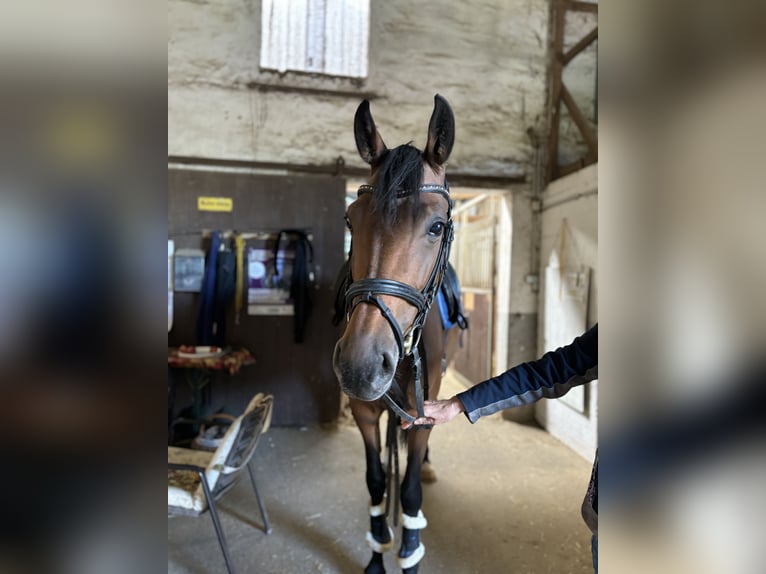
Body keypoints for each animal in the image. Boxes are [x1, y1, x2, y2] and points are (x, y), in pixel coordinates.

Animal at [332, 97, 462, 574]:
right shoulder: (364, 410)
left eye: (437, 226)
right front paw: (377, 555)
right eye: (350, 220)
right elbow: (375, 482)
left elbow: (407, 491)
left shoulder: (425, 410)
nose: (361, 364)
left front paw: (409, 553)